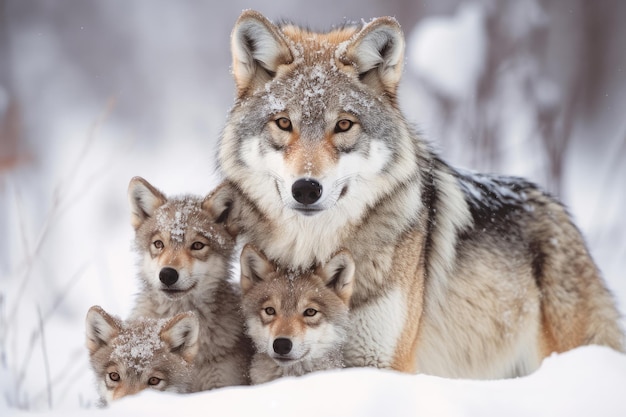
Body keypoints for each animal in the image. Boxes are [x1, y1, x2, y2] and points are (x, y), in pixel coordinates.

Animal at [217, 9, 620, 376]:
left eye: (344, 125)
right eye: (284, 123)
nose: (306, 189)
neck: (311, 251)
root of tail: (559, 212)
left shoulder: (385, 363)